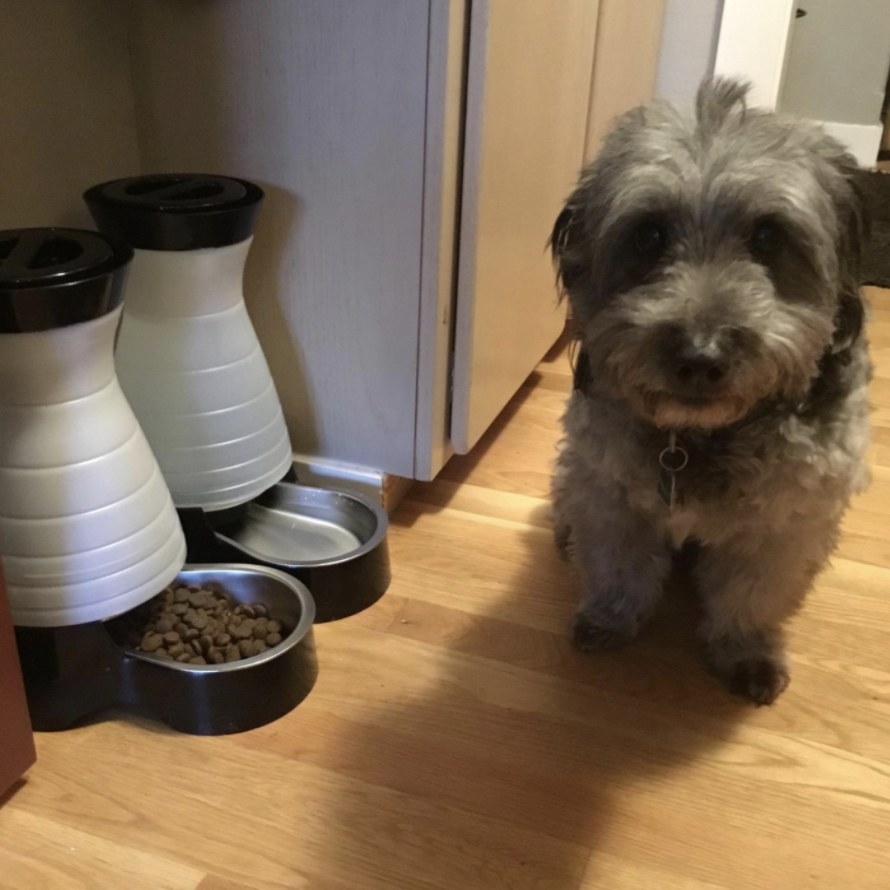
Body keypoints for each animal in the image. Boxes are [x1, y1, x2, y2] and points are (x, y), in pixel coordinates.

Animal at [548, 78, 868, 700]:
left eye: (768, 236)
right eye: (649, 235)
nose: (700, 358)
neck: (700, 437)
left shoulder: (786, 526)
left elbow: (752, 596)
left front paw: (744, 650)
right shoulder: (611, 492)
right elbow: (618, 565)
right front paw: (611, 615)